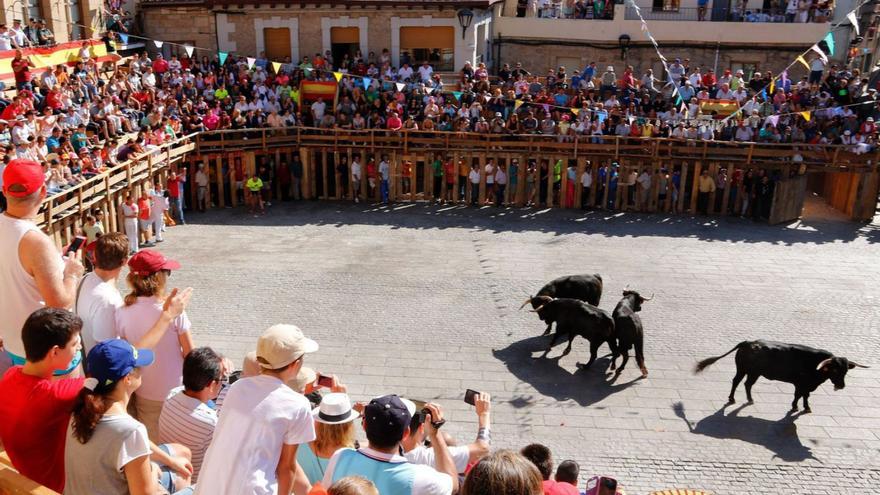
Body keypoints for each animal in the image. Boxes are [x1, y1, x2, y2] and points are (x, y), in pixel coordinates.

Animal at [696, 340, 868, 414]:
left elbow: (805, 396)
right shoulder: (801, 383)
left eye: (845, 371)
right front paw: (795, 406)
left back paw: (750, 399)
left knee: (747, 384)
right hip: (743, 369)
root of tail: (748, 342)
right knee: (736, 381)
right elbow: (799, 395)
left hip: (754, 372)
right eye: (834, 370)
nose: (841, 386)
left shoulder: (807, 385)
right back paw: (731, 398)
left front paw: (806, 407)